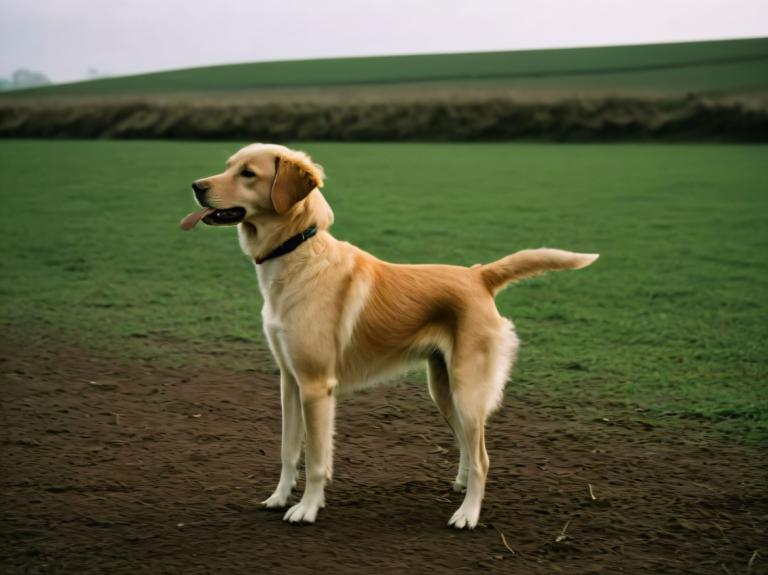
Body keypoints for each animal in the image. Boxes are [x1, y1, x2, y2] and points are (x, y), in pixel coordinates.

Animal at [182, 145, 600, 532]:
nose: (196, 186)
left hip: (467, 391)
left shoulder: (316, 386)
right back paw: (461, 485)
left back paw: (467, 514)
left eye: (248, 173)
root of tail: (478, 275)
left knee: (483, 457)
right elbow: (288, 450)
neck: (298, 251)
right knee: (467, 444)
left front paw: (307, 508)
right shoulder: (290, 381)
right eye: (228, 166)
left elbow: (316, 457)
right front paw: (280, 497)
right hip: (443, 390)